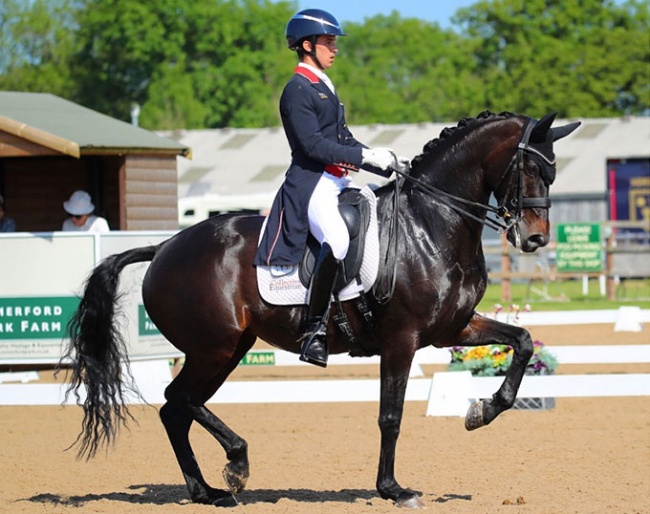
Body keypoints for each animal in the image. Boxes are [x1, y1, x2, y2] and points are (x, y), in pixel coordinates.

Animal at [60, 110, 576, 506]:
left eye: (552, 173)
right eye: (529, 168)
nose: (535, 239)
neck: (430, 225)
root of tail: (164, 246)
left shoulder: (454, 329)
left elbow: (522, 342)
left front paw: (481, 411)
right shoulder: (402, 340)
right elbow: (391, 417)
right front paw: (392, 489)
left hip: (227, 349)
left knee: (177, 409)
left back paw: (208, 490)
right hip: (214, 347)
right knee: (179, 400)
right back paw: (235, 466)